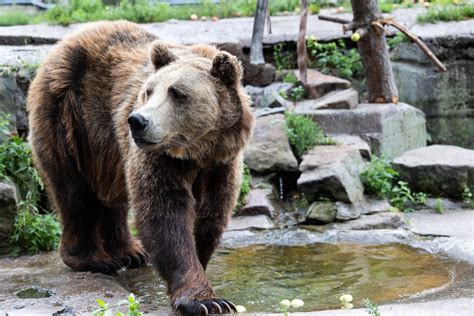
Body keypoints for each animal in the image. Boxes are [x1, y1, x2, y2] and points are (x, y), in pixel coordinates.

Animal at [25, 21, 254, 314]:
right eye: (149, 91)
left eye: (177, 93)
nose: (138, 121)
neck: (196, 152)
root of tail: (67, 40)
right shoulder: (159, 159)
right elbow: (164, 213)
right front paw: (204, 300)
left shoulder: (221, 163)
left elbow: (211, 213)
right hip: (70, 116)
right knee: (74, 192)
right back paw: (94, 258)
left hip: (108, 149)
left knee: (112, 195)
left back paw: (130, 252)